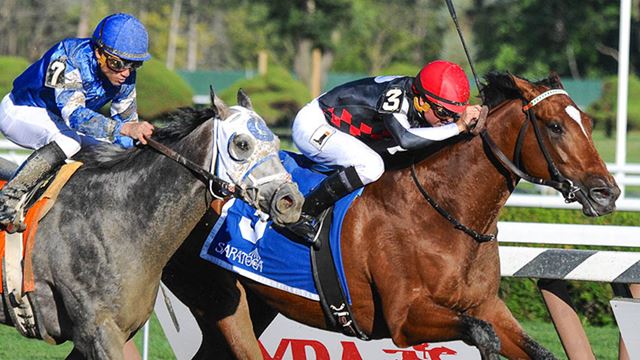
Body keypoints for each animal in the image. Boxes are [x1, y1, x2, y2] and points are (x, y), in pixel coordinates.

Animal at [0, 90, 304, 360]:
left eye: (277, 143)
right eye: (241, 144)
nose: (290, 200)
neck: (116, 217)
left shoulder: (116, 331)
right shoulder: (97, 331)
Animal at [164, 71, 620, 358]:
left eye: (589, 122)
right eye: (554, 126)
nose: (608, 193)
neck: (445, 214)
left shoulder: (489, 307)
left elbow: (533, 348)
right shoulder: (405, 319)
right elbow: (482, 336)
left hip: (256, 303)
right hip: (219, 300)